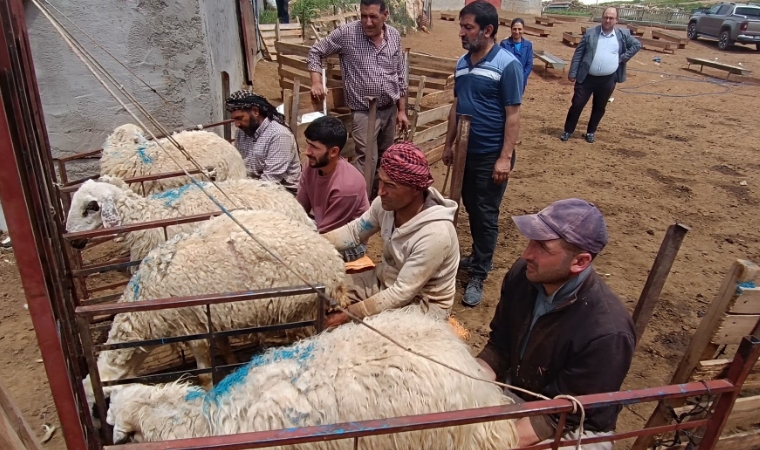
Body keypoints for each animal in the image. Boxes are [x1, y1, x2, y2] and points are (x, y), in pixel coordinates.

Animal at [80, 209, 348, 416]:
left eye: (101, 403)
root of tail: (334, 263)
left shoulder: (192, 329)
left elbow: (204, 375)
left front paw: (207, 394)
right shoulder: (212, 319)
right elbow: (223, 346)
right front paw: (231, 363)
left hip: (303, 308)